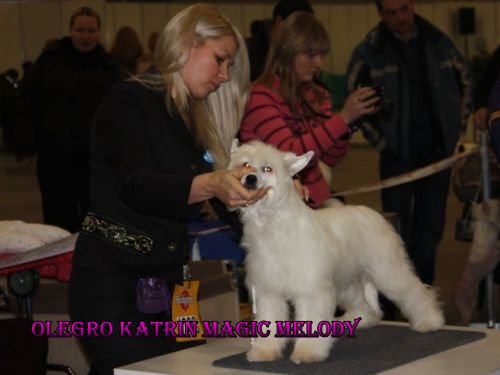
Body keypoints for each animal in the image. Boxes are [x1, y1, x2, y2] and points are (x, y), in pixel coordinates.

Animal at [229, 140, 444, 364]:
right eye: (245, 165)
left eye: (267, 169)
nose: (250, 178)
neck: (272, 223)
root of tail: (374, 215)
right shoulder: (268, 291)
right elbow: (269, 321)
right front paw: (265, 351)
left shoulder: (311, 289)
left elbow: (310, 319)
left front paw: (308, 351)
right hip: (347, 280)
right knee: (362, 301)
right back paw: (360, 320)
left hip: (388, 271)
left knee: (415, 292)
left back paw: (430, 321)